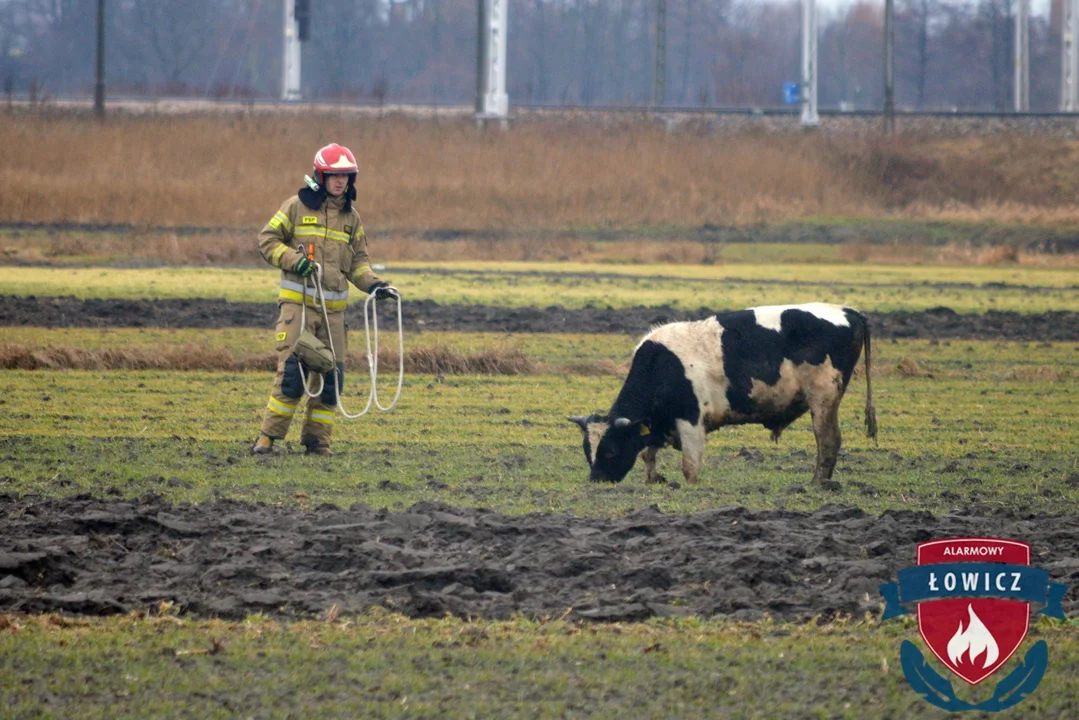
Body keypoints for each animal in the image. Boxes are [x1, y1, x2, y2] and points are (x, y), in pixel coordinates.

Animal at [565, 302, 876, 487]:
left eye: (610, 451)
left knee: (828, 439)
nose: (596, 481)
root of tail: (846, 310)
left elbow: (690, 466)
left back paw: (817, 483)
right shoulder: (657, 424)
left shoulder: (690, 421)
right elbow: (647, 454)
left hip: (823, 397)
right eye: (587, 450)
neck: (661, 364)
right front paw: (654, 479)